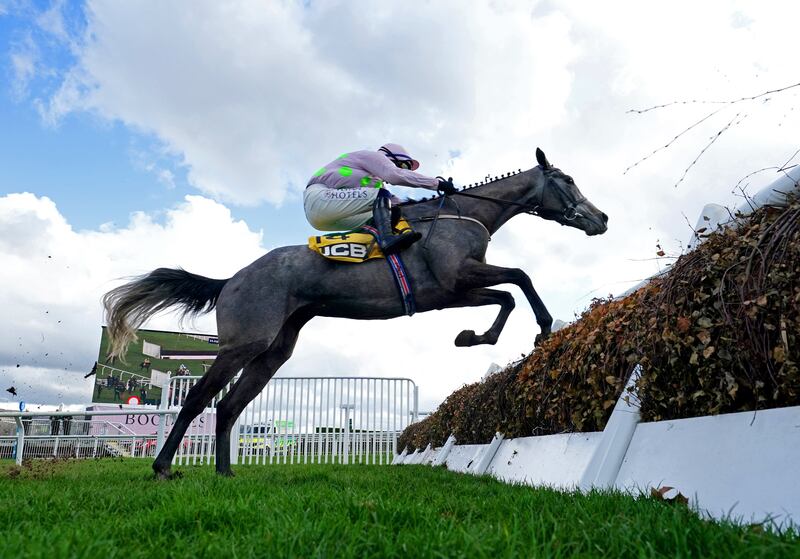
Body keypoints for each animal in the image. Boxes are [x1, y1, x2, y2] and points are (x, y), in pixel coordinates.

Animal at [103, 148, 608, 476]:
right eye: (566, 179)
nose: (601, 218)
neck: (461, 215)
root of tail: (230, 279)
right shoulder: (454, 280)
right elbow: (520, 279)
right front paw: (540, 328)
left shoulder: (450, 293)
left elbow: (508, 294)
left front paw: (474, 337)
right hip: (243, 342)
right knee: (197, 400)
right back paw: (163, 468)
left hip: (273, 351)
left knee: (227, 407)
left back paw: (225, 474)